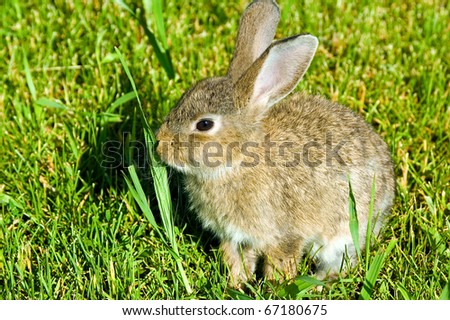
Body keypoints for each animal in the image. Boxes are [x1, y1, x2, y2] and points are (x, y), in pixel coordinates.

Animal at [156, 0, 396, 286]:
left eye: (204, 124)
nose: (159, 145)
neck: (238, 161)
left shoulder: (284, 234)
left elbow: (280, 262)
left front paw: (274, 287)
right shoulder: (235, 236)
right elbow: (236, 259)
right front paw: (235, 284)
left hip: (345, 232)